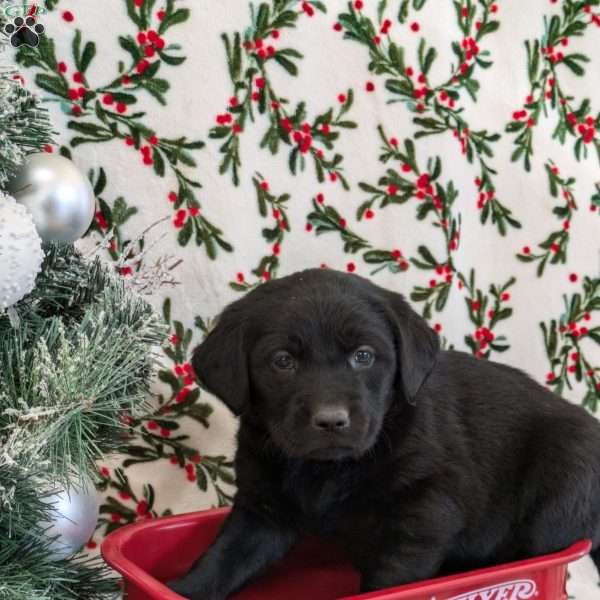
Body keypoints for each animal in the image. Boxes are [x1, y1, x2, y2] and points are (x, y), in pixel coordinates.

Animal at [166, 270, 600, 596]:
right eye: (282, 361)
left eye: (363, 356)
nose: (331, 420)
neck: (329, 470)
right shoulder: (262, 510)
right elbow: (222, 560)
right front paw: (184, 588)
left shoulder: (421, 518)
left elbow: (390, 581)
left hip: (563, 479)